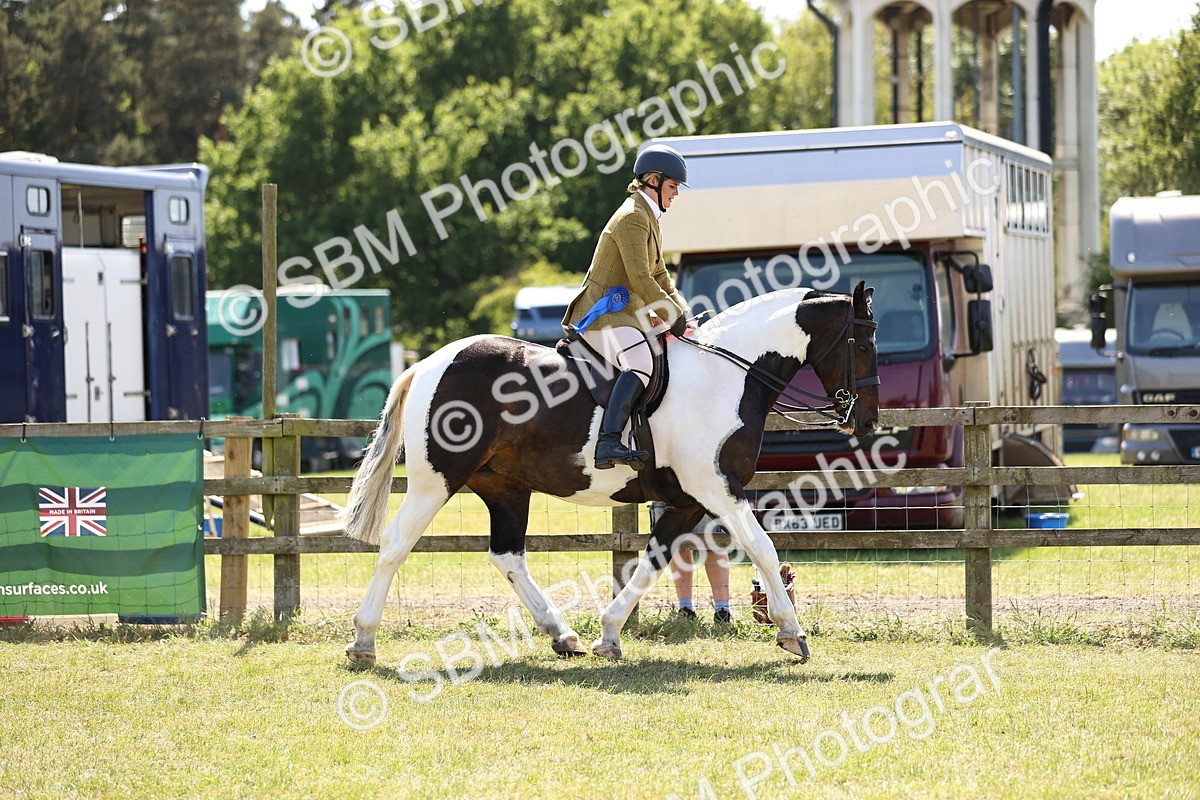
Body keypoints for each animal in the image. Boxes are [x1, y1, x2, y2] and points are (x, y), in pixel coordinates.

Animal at [339, 281, 880, 664]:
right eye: (864, 344)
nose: (868, 420)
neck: (727, 375)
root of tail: (428, 364)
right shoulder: (718, 489)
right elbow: (763, 549)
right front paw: (793, 633)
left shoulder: (687, 500)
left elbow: (652, 562)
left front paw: (609, 634)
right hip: (436, 481)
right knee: (395, 546)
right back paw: (363, 641)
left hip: (505, 486)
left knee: (508, 556)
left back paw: (564, 636)